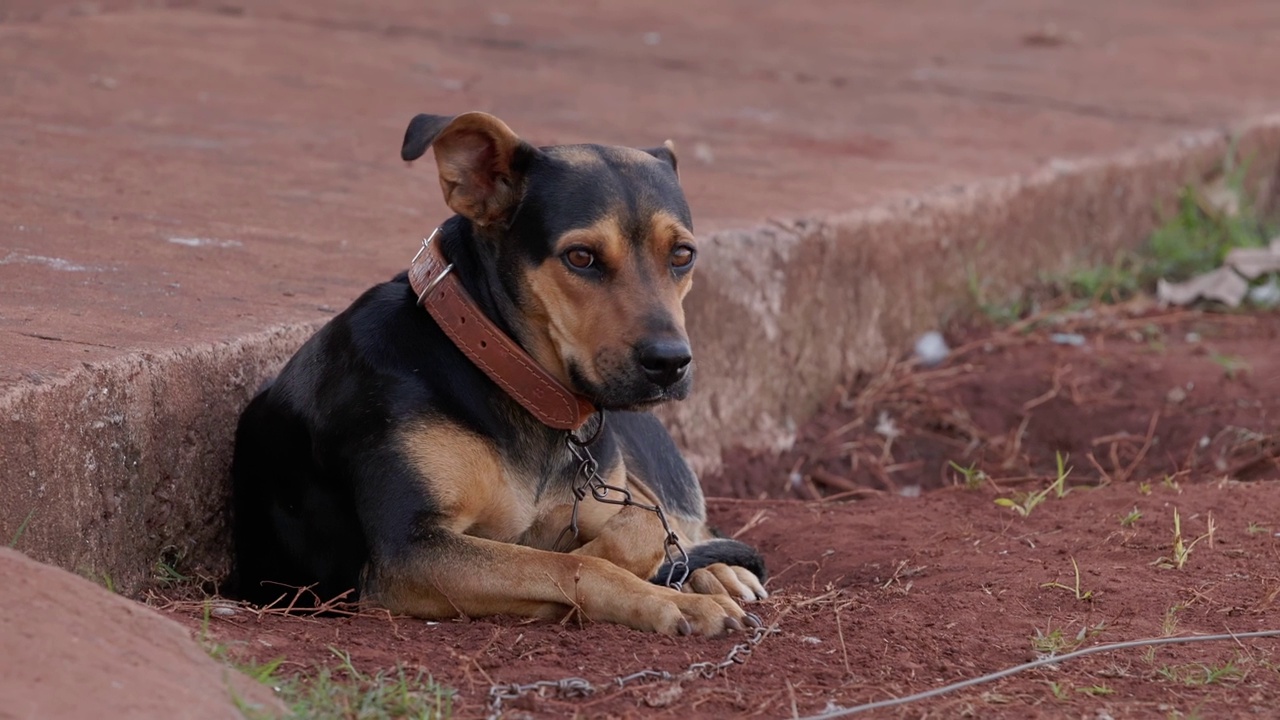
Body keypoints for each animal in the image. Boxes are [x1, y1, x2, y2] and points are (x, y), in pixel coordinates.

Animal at [230, 109, 762, 630]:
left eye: (683, 255)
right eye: (581, 257)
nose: (670, 362)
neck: (510, 376)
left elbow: (643, 525)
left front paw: (677, 575)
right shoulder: (408, 549)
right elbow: (574, 562)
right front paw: (669, 598)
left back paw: (718, 573)